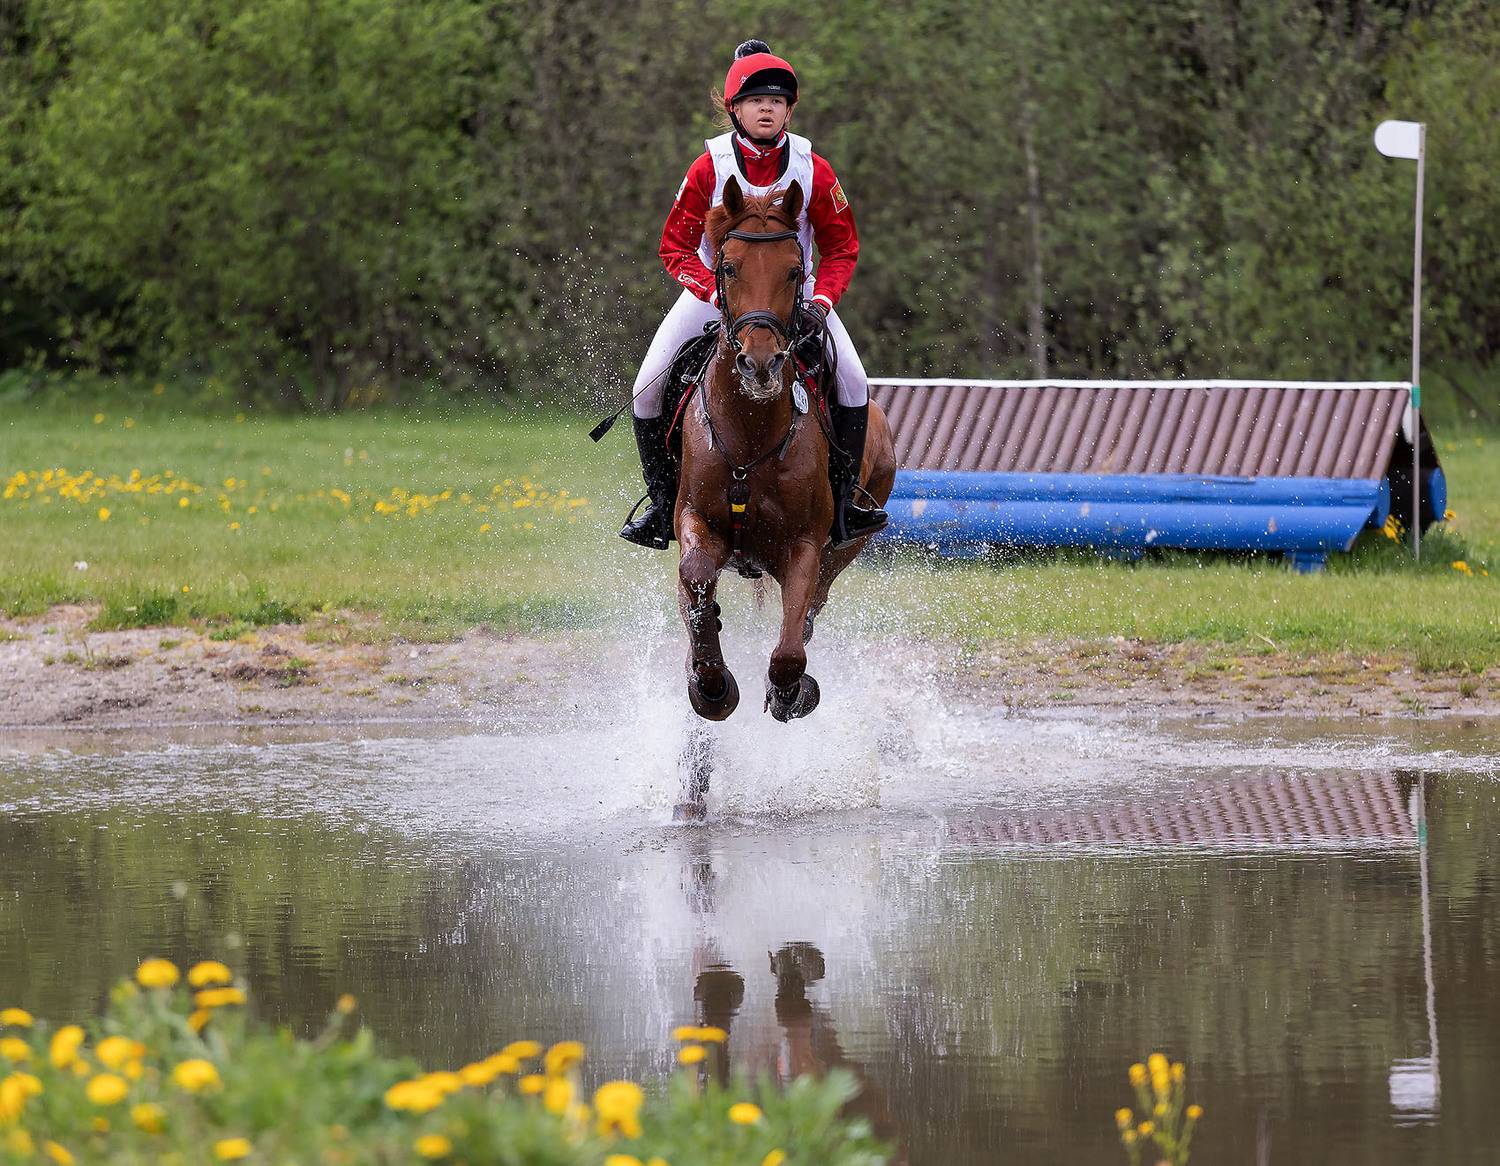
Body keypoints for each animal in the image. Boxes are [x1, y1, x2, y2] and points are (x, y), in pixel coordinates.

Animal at [672, 176, 896, 737]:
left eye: (794, 270)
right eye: (729, 267)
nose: (759, 364)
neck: (751, 434)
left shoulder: (805, 545)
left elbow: (791, 650)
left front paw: (791, 693)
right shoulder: (694, 519)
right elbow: (697, 577)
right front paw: (712, 686)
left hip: (850, 539)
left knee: (814, 608)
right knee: (692, 593)